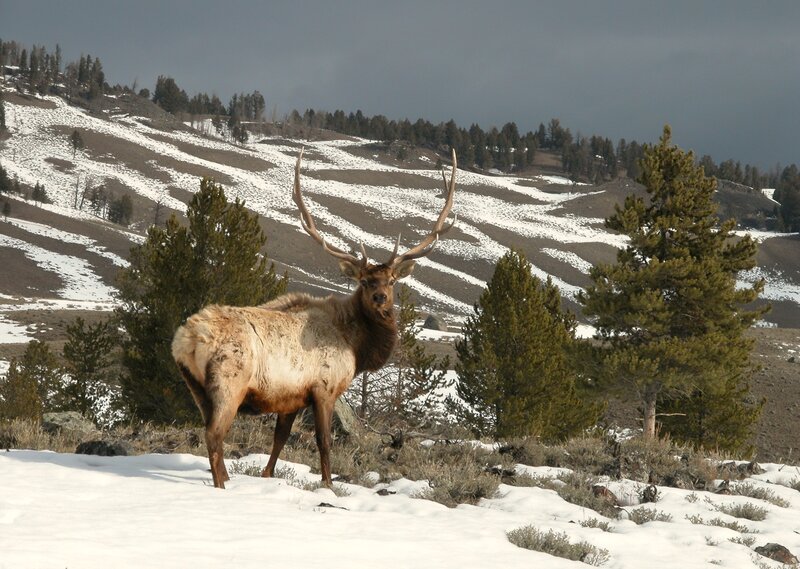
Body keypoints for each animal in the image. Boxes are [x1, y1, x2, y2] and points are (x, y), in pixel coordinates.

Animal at [171, 148, 457, 488]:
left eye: (391, 281)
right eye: (364, 281)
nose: (380, 299)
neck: (356, 346)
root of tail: (185, 340)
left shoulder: (291, 397)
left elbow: (280, 439)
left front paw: (268, 477)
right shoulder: (324, 388)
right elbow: (324, 441)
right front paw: (329, 485)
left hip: (195, 387)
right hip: (229, 382)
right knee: (214, 435)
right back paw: (221, 486)